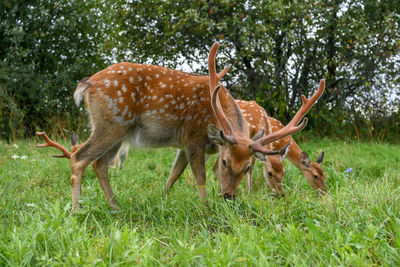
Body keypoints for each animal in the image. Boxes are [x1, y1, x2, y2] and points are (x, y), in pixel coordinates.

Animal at [37, 42, 324, 210]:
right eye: (224, 162)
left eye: (247, 167)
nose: (229, 196)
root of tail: (86, 85)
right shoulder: (194, 136)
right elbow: (200, 177)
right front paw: (205, 209)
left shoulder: (184, 144)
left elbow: (173, 175)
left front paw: (163, 199)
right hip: (111, 123)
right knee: (79, 157)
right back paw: (77, 209)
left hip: (119, 133)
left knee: (99, 164)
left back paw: (115, 207)